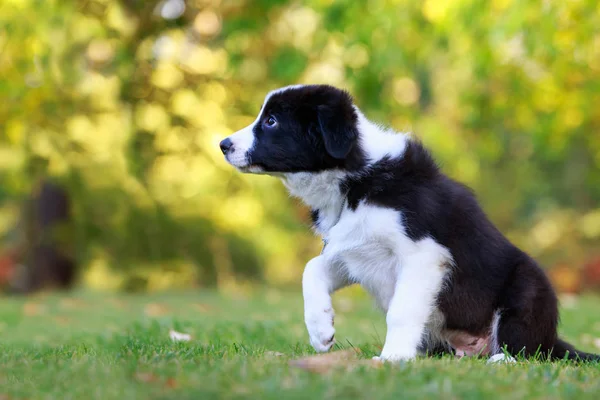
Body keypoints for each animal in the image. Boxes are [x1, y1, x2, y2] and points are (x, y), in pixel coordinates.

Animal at [220, 84, 600, 362]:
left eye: (271, 121)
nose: (223, 144)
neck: (354, 183)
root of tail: (552, 339)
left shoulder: (423, 256)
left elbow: (401, 311)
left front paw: (391, 359)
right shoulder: (353, 251)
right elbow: (312, 267)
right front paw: (320, 330)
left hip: (528, 288)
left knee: (522, 348)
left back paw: (500, 361)